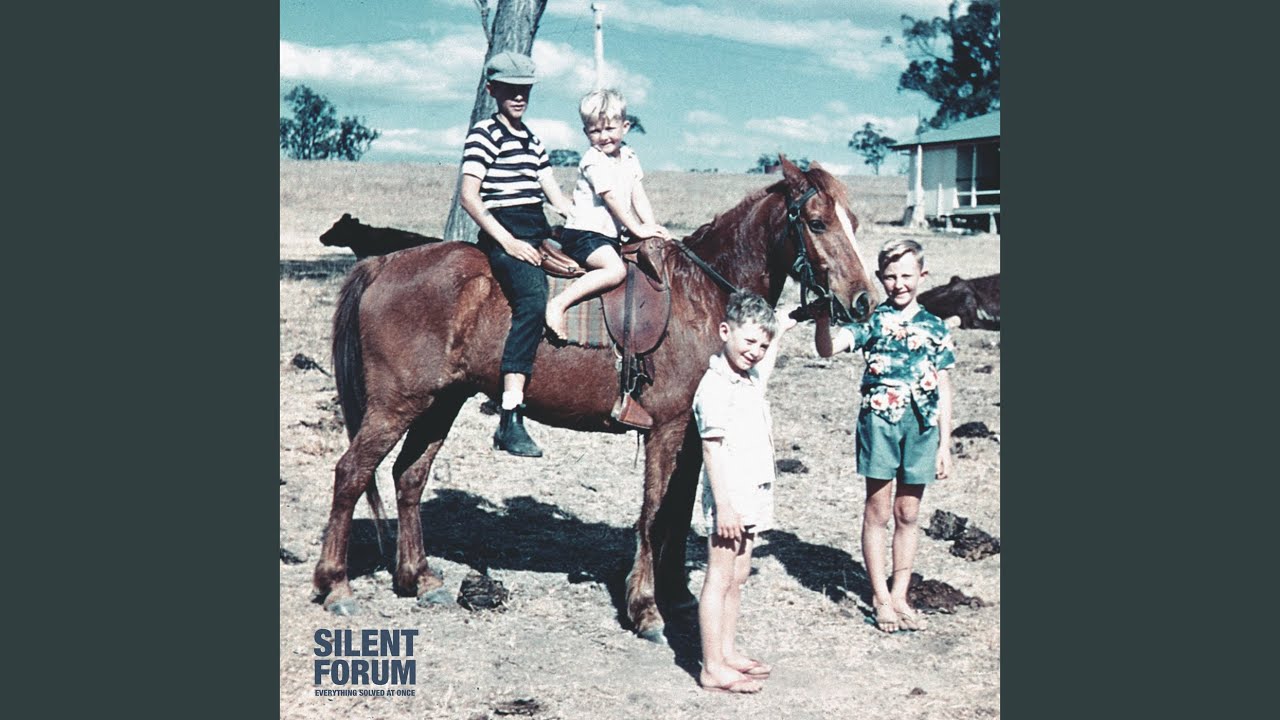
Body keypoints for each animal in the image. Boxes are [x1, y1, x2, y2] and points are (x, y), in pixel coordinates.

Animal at [313, 156, 880, 642]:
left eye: (852, 220)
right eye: (816, 222)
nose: (864, 301)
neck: (704, 296)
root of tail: (384, 263)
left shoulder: (695, 434)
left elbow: (677, 513)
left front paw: (675, 594)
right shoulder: (667, 427)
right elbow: (654, 514)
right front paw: (645, 609)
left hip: (440, 403)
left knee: (408, 476)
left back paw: (419, 578)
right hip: (396, 405)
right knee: (351, 473)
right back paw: (336, 585)